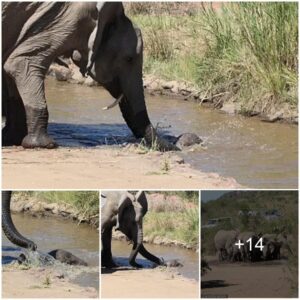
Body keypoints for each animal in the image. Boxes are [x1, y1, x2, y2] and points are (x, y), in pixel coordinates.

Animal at [2, 2, 176, 151]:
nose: (175, 147)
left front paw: (11, 139)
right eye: (129, 59)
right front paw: (44, 145)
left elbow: (10, 71)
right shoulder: (65, 20)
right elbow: (21, 62)